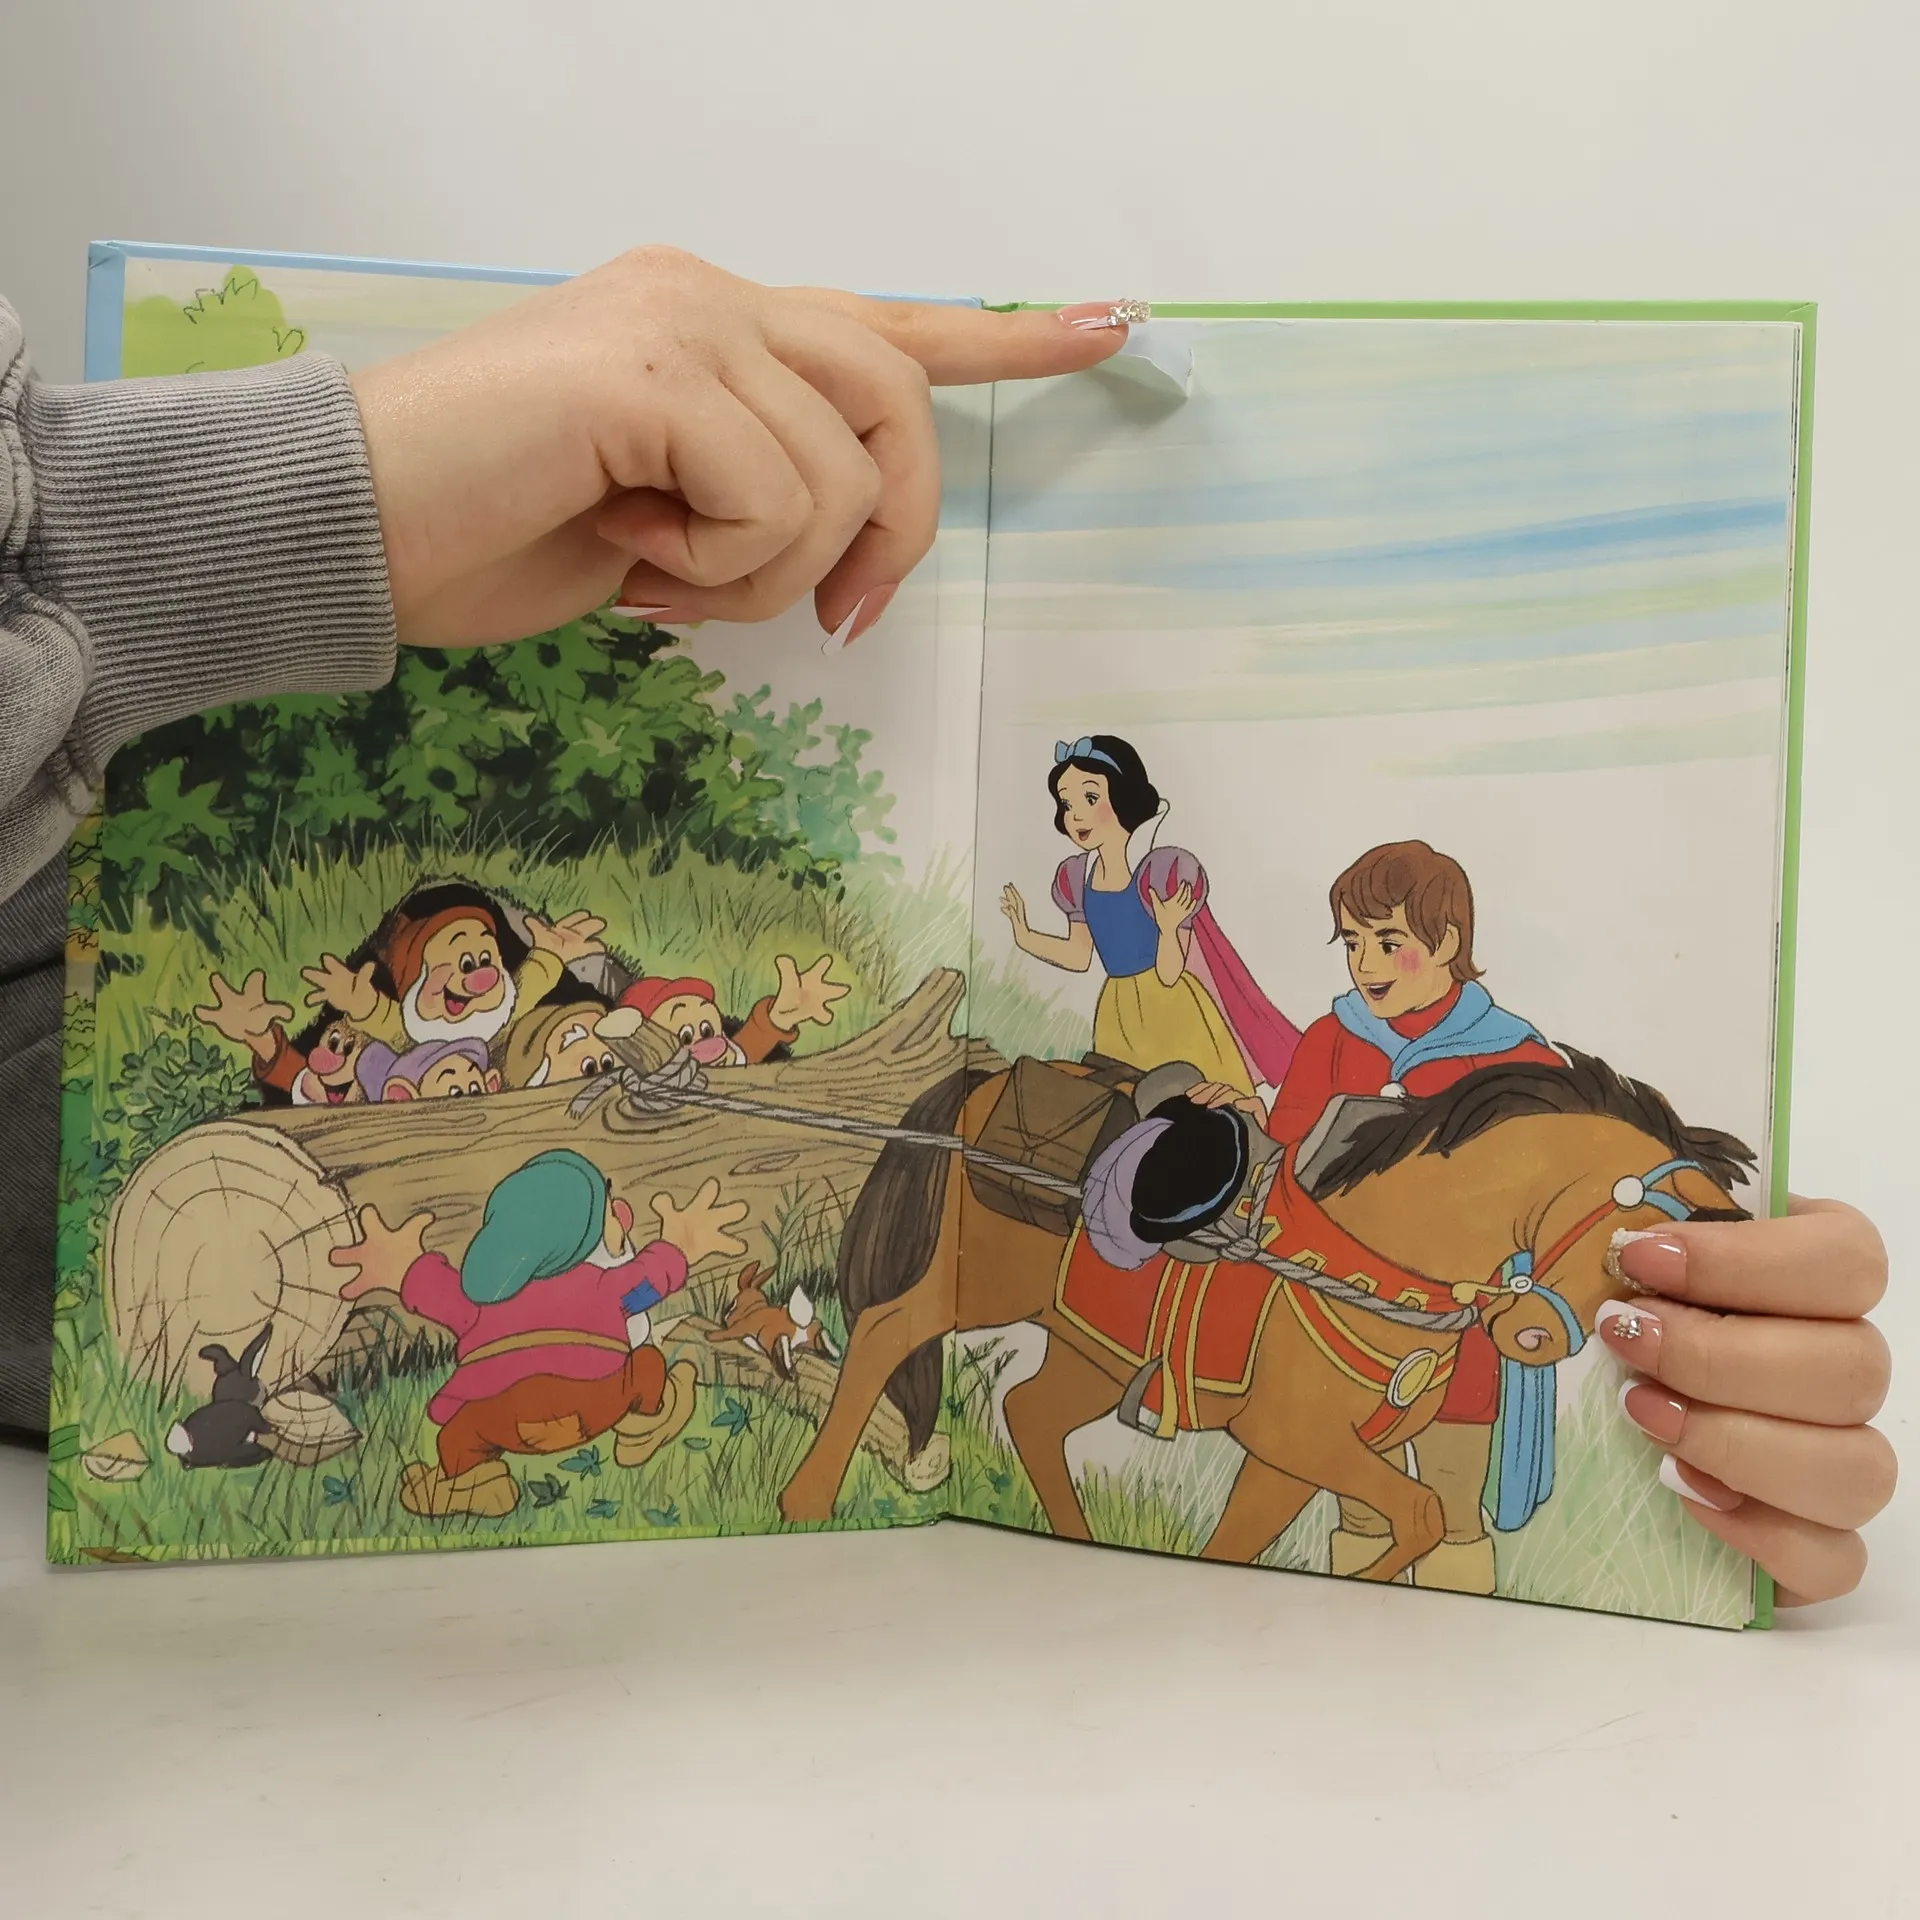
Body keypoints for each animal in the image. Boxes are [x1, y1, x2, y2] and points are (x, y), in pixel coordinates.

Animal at [779, 1051, 1754, 1582]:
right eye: (1620, 1238)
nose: (1532, 1340)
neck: (1377, 1256)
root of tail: (989, 1079)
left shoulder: (1293, 1457)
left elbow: (1264, 1537)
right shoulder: (1296, 1438)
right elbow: (1418, 1514)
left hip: (1090, 1344)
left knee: (1031, 1413)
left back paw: (1077, 1534)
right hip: (977, 1282)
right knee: (887, 1332)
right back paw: (804, 1499)